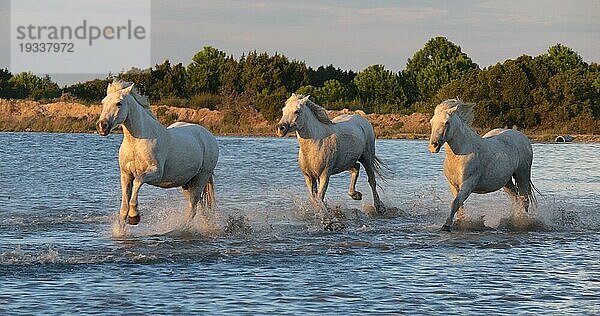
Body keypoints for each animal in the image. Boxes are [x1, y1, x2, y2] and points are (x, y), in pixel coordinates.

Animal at [97, 80, 219, 226]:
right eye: (103, 102)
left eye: (118, 103)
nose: (102, 126)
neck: (136, 143)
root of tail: (208, 136)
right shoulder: (126, 175)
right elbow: (123, 210)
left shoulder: (155, 172)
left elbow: (138, 182)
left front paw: (134, 216)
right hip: (187, 183)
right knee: (200, 207)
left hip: (201, 177)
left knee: (193, 208)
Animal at [426, 97, 540, 231]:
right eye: (431, 122)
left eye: (446, 122)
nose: (433, 146)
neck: (460, 154)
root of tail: (523, 137)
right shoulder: (453, 185)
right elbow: (459, 206)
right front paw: (460, 222)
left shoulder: (468, 184)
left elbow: (455, 203)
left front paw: (446, 225)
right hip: (506, 182)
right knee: (515, 198)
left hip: (522, 175)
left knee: (524, 199)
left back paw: (521, 221)